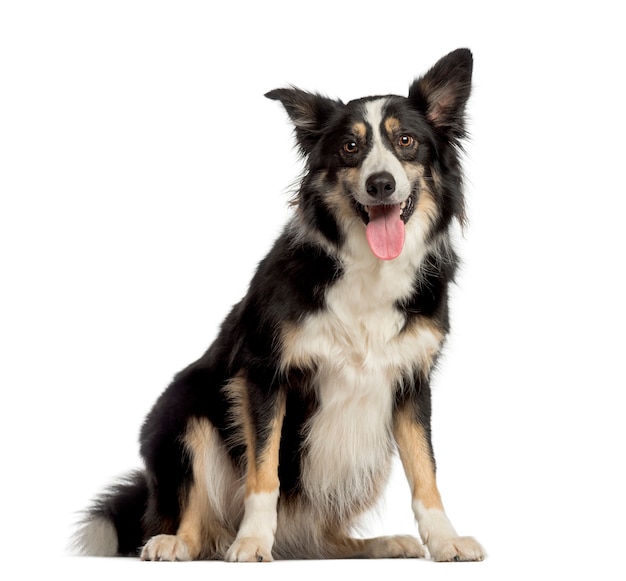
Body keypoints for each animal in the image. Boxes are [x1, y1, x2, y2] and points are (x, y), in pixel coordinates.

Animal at [73, 47, 482, 560]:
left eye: (405, 140)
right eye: (350, 147)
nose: (381, 184)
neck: (367, 267)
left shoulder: (411, 383)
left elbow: (425, 471)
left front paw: (445, 539)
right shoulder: (263, 372)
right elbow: (263, 471)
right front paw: (251, 541)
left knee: (323, 538)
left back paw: (379, 543)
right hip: (183, 414)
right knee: (194, 516)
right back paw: (177, 542)